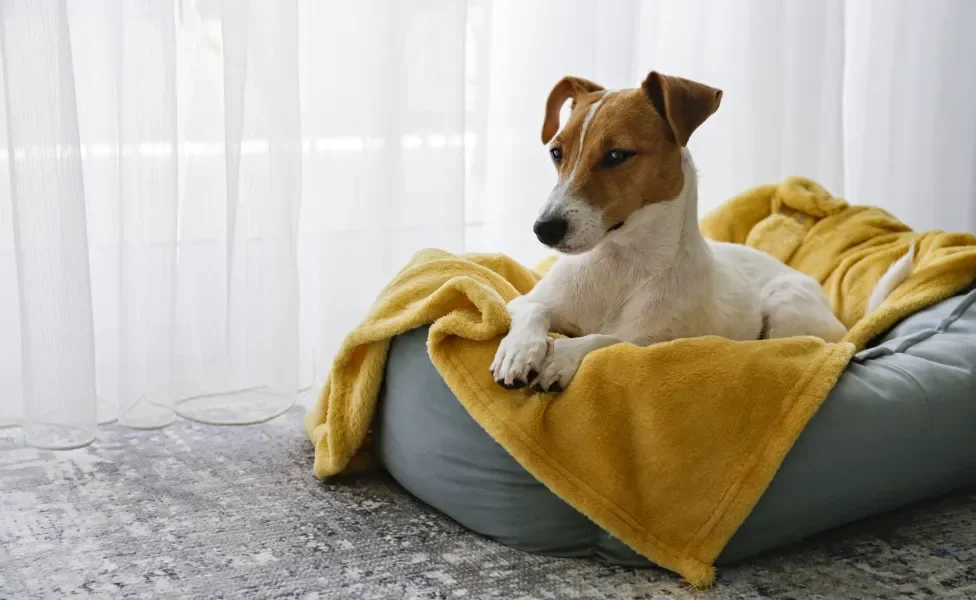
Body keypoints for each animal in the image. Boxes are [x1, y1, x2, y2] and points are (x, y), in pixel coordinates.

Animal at [492, 70, 912, 394]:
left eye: (616, 155)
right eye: (556, 153)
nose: (543, 230)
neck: (619, 263)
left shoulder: (657, 345)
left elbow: (604, 339)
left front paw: (561, 356)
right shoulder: (525, 300)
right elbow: (533, 309)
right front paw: (520, 351)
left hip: (785, 305)